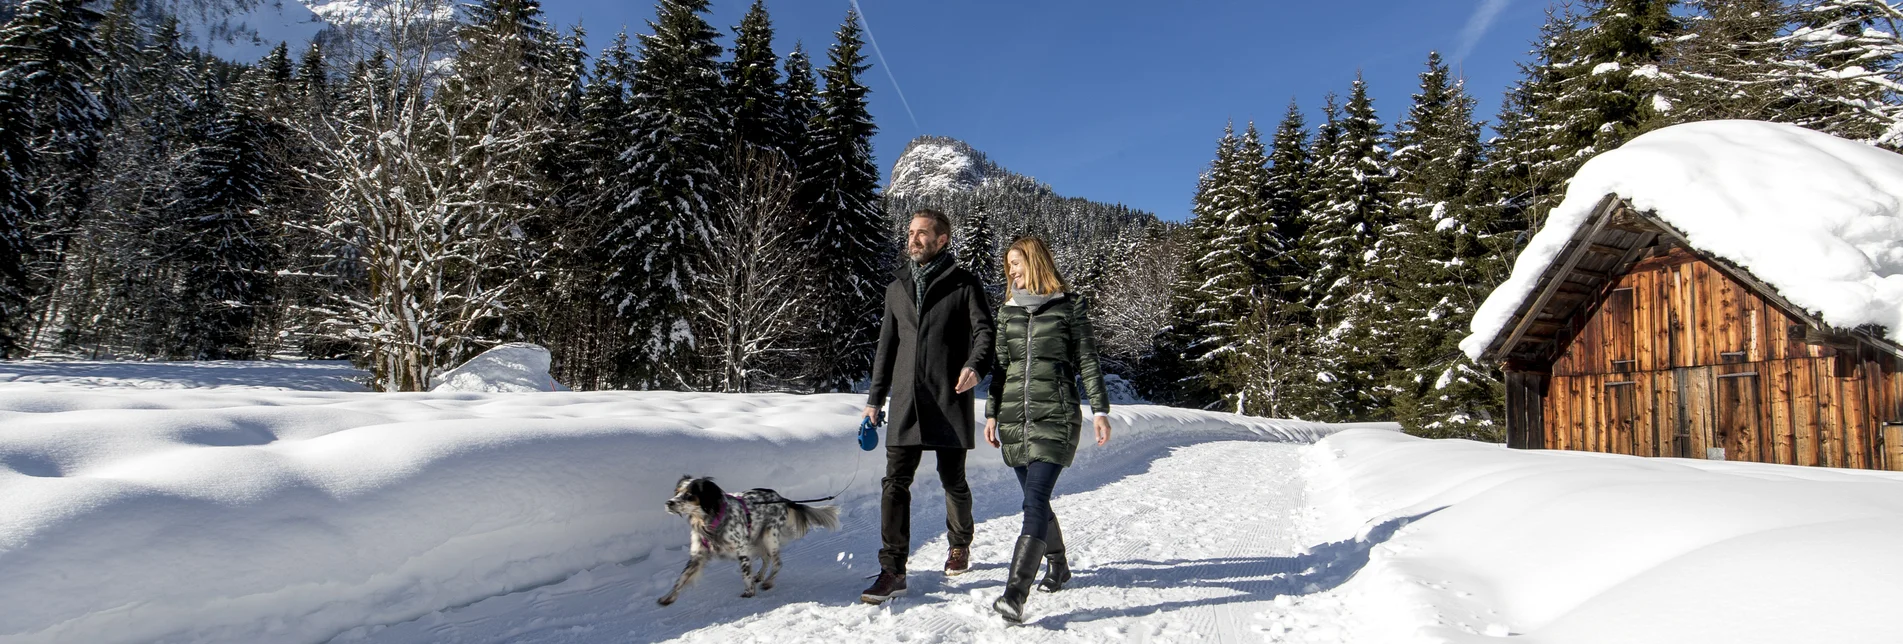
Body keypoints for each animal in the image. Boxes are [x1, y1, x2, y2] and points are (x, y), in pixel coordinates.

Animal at [658, 472, 837, 602]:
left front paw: (749, 591)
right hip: (758, 540)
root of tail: (781, 498)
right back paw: (760, 576)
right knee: (767, 559)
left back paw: (768, 582)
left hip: (768, 537)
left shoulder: (742, 550)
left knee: (778, 562)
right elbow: (681, 578)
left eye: (689, 495)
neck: (710, 520)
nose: (668, 503)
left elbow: (745, 573)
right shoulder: (698, 555)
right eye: (676, 492)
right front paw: (668, 597)